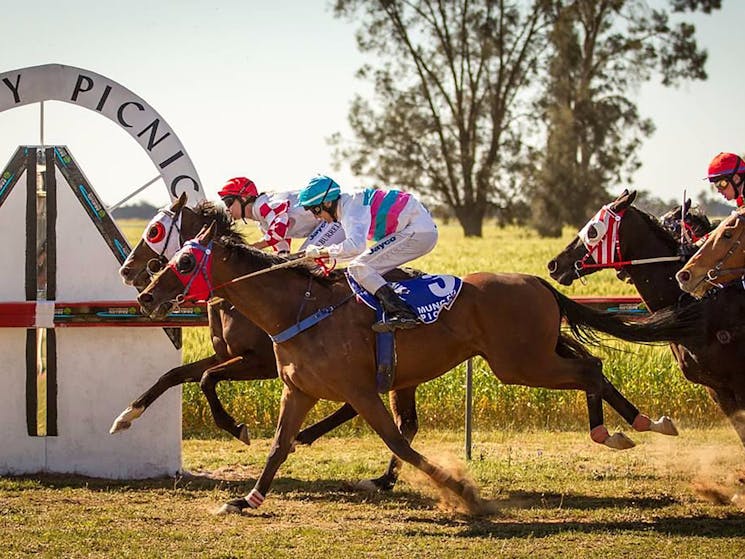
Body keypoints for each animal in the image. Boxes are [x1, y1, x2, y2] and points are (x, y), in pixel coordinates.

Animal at [114, 195, 410, 492]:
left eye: (154, 231)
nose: (126, 270)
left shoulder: (259, 362)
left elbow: (207, 379)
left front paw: (237, 428)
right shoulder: (225, 356)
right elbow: (173, 375)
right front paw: (126, 415)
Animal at [137, 223, 700, 516]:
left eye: (183, 261)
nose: (144, 295)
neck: (299, 308)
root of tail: (537, 282)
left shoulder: (361, 391)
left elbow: (399, 442)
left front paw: (461, 491)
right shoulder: (297, 390)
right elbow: (278, 445)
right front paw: (247, 499)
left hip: (521, 363)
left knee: (589, 369)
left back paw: (615, 431)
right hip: (531, 357)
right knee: (592, 365)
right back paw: (642, 423)